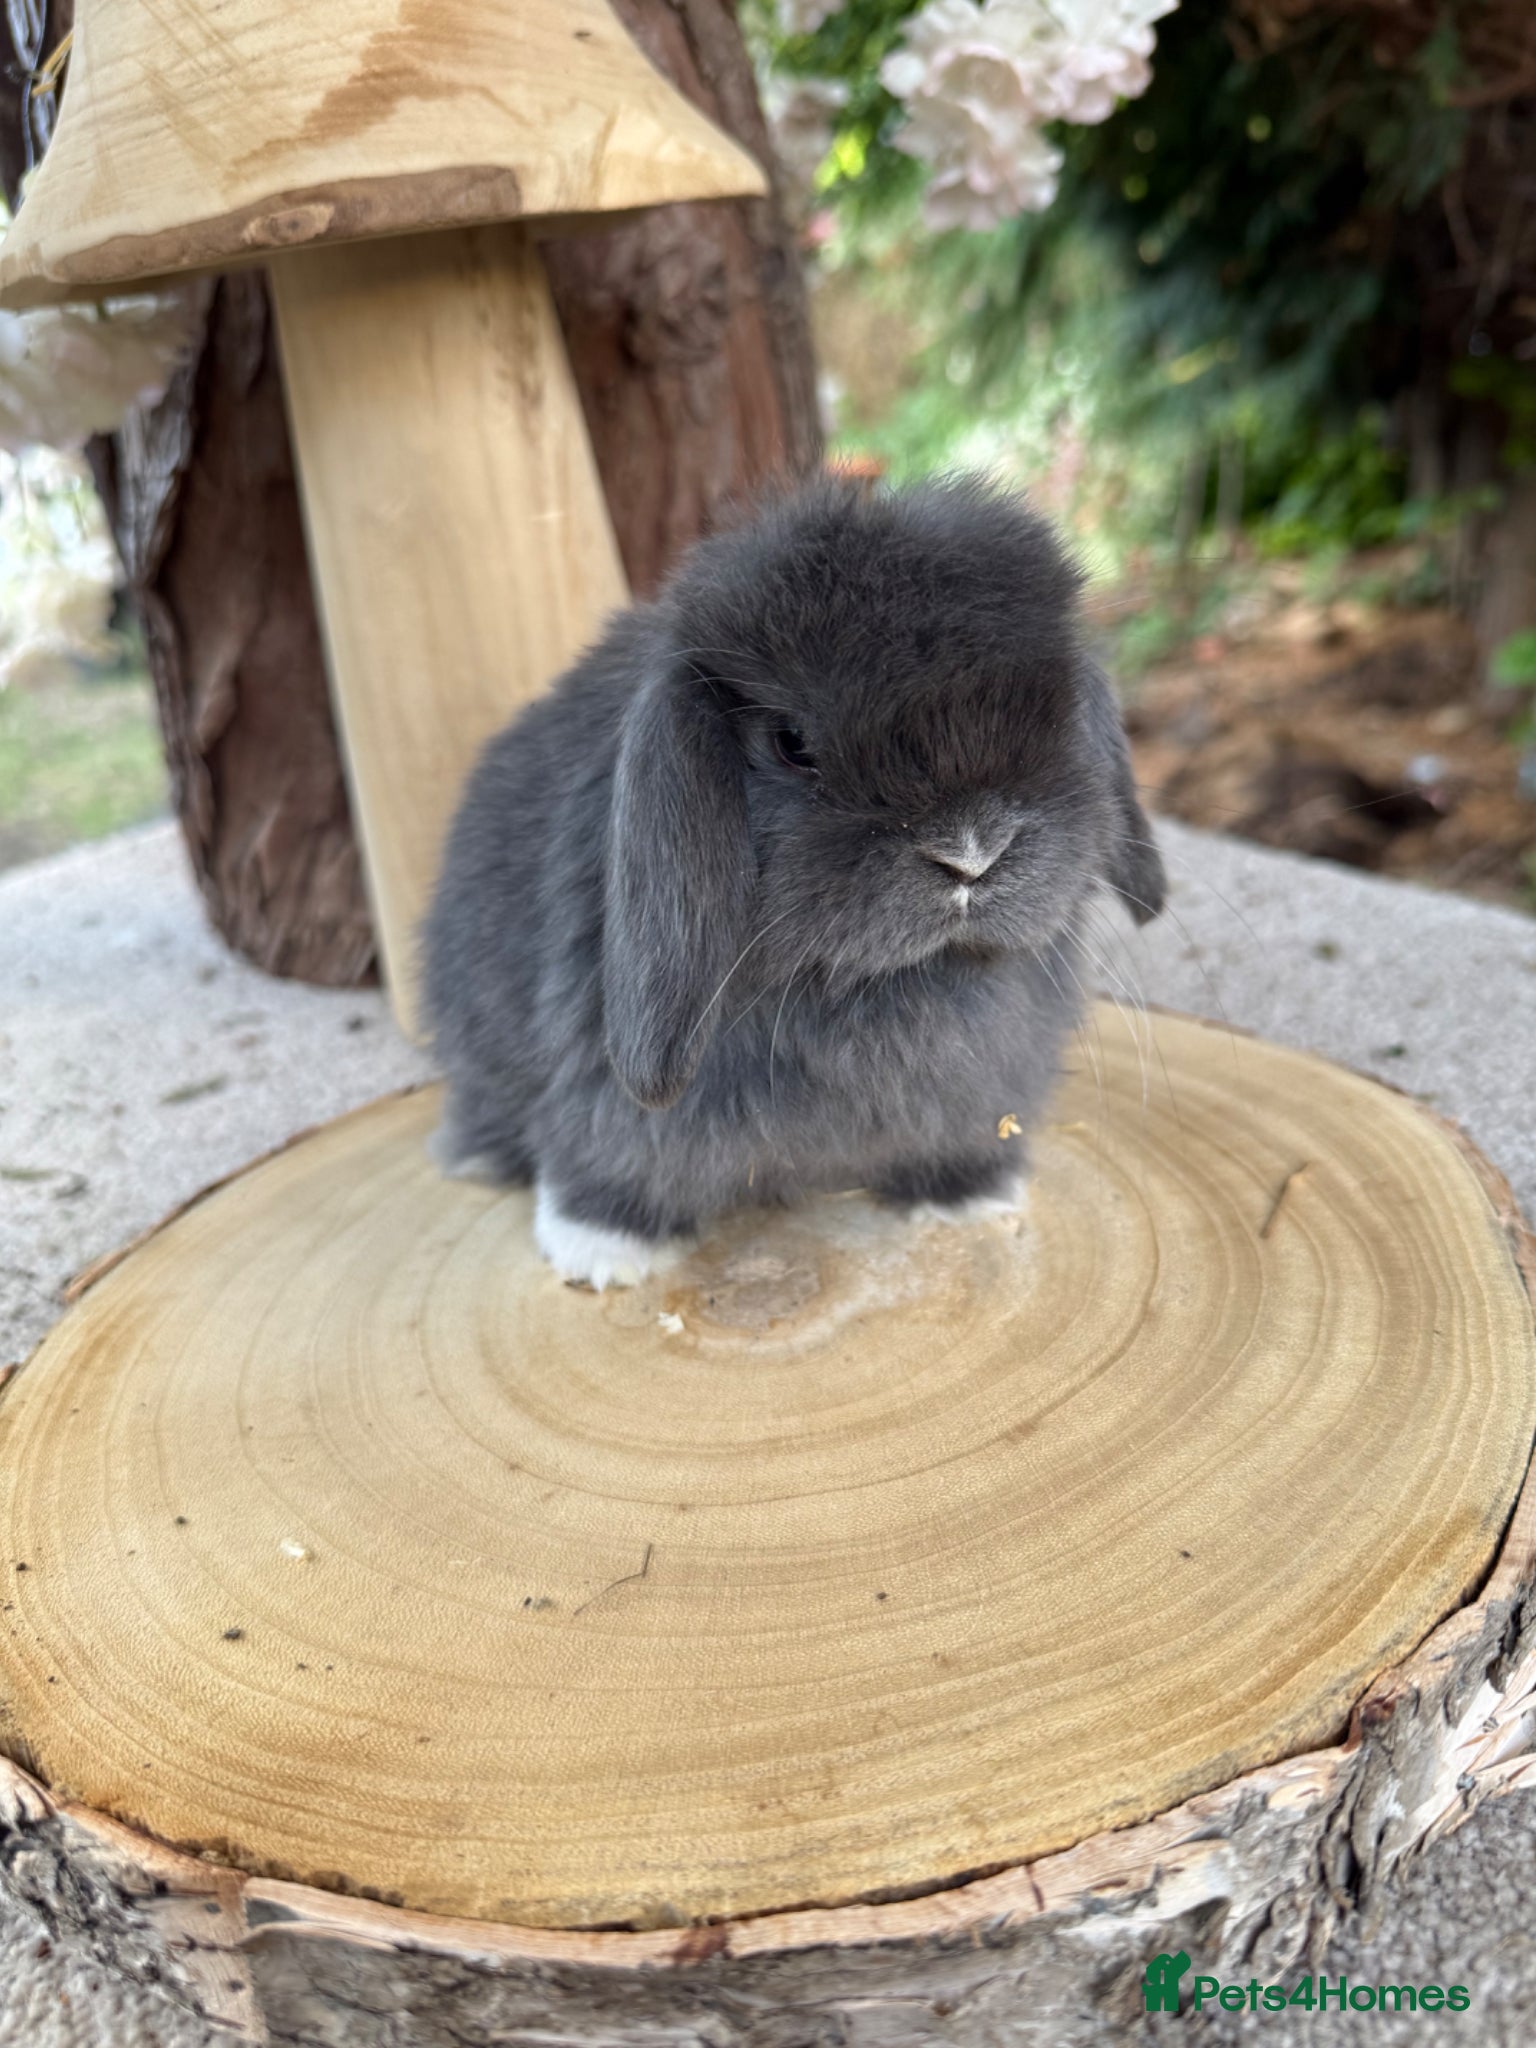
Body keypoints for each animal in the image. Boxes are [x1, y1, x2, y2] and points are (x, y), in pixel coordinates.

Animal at [422, 474, 1165, 1289]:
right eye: (791, 743)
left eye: (1056, 713)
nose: (972, 852)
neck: (879, 982)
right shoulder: (604, 1090)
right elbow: (611, 1155)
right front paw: (601, 1248)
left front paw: (969, 1194)